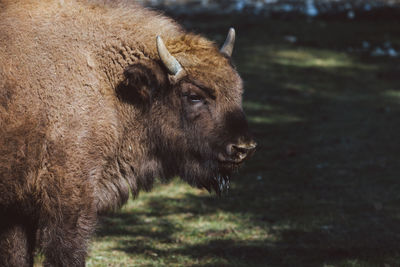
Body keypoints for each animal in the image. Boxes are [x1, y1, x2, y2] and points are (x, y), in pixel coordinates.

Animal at [0, 1, 256, 266]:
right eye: (193, 96)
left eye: (238, 91)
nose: (243, 148)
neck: (108, 84)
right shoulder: (68, 197)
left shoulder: (16, 210)